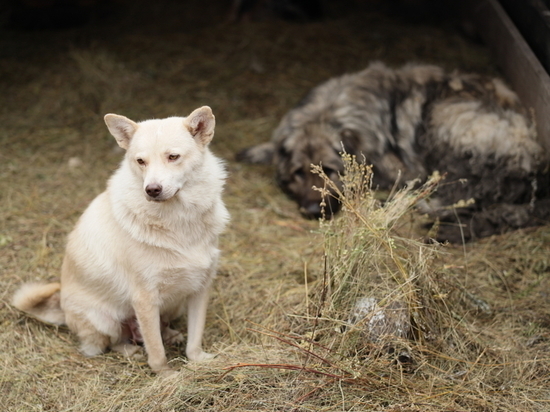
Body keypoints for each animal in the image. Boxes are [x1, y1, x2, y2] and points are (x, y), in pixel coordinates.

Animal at [12, 107, 231, 376]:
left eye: (173, 157)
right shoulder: (144, 299)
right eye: (140, 161)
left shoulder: (200, 288)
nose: (152, 190)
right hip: (106, 321)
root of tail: (62, 310)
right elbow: (156, 351)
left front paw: (198, 360)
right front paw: (168, 377)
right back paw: (131, 350)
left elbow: (194, 339)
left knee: (160, 327)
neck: (179, 220)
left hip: (175, 304)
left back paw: (171, 335)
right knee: (111, 343)